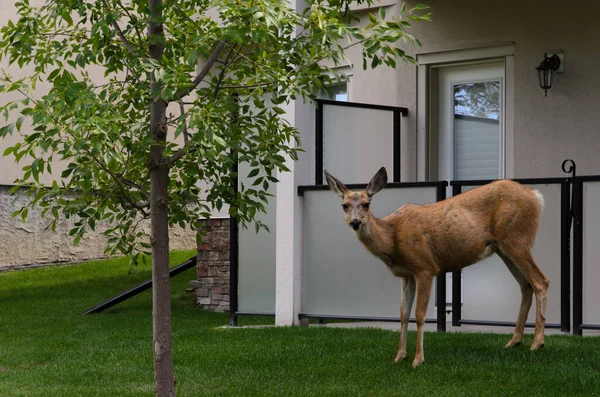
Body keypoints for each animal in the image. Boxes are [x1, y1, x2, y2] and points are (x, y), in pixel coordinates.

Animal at [324, 166, 548, 366]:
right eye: (344, 205)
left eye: (366, 204)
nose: (355, 222)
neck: (392, 238)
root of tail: (537, 197)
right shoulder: (406, 275)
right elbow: (403, 314)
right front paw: (399, 356)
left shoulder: (425, 268)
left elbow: (419, 314)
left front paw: (417, 359)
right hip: (504, 248)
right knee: (525, 285)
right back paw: (514, 341)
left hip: (516, 237)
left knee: (540, 281)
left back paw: (537, 343)